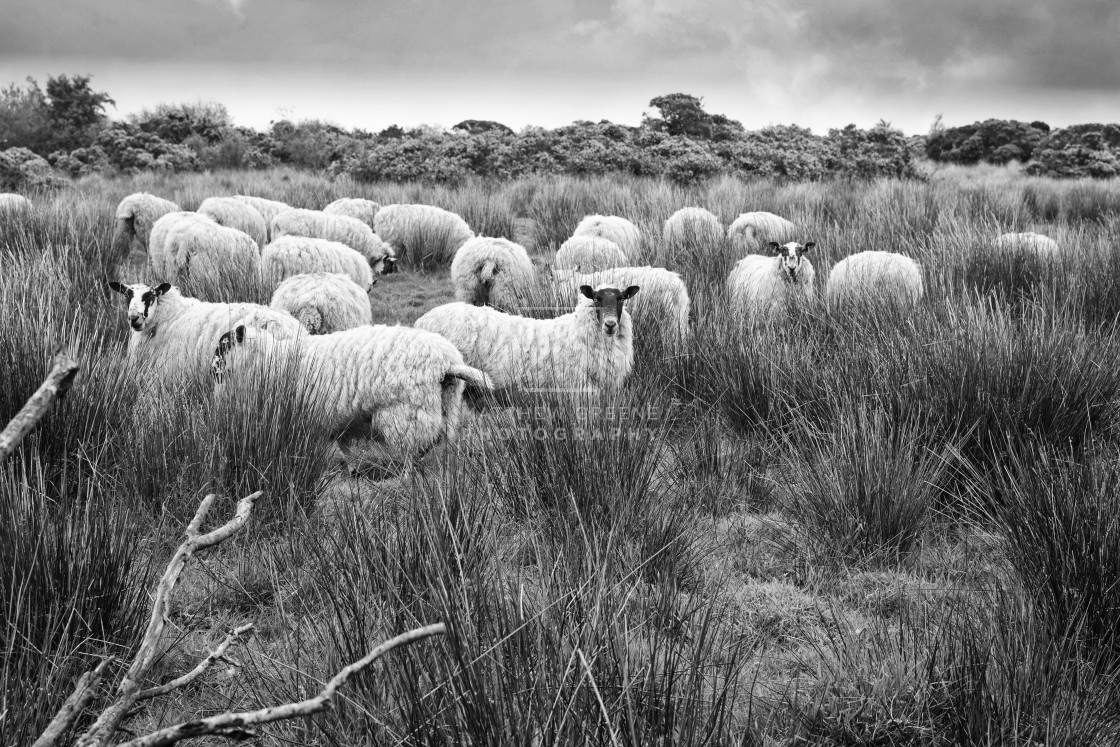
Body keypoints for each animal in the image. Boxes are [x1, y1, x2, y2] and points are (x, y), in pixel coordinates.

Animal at [210, 320, 490, 468]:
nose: (211, 370)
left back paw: (407, 473)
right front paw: (352, 468)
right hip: (449, 402)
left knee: (415, 444)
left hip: (406, 411)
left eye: (224, 346)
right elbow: (343, 443)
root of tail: (448, 363)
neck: (269, 360)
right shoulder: (337, 418)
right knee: (445, 437)